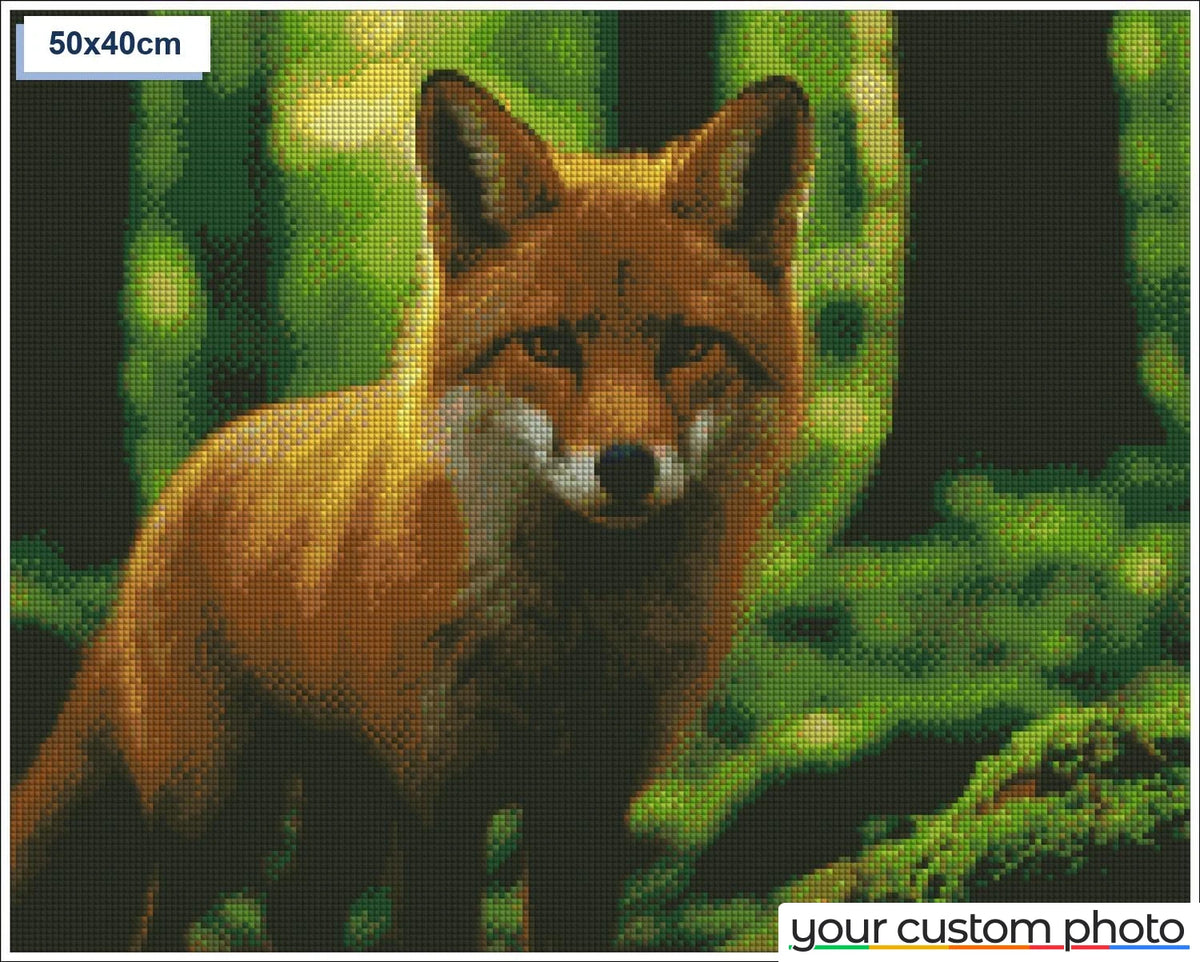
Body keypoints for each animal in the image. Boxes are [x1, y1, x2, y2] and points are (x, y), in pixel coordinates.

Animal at [11, 70, 813, 951]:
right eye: (549, 346)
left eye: (688, 347)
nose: (628, 468)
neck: (572, 631)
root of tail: (195, 467)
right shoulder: (438, 798)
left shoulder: (588, 802)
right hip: (219, 813)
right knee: (166, 917)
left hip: (344, 810)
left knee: (292, 903)